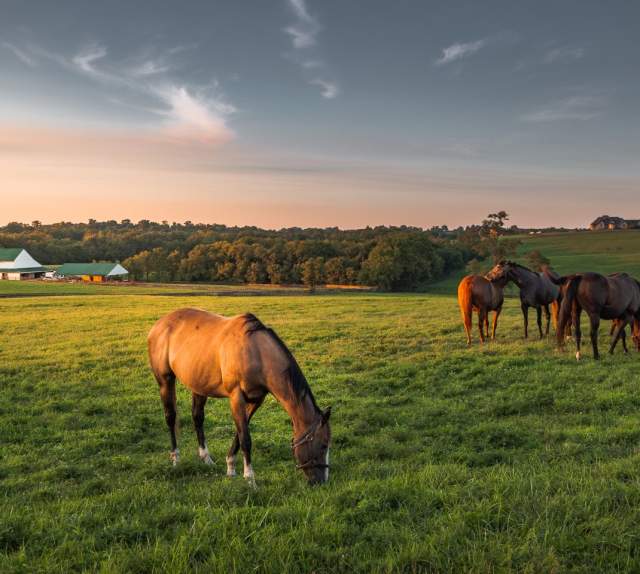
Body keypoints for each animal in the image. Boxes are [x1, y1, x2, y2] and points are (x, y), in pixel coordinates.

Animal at [147, 308, 332, 486]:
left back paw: (206, 458)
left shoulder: (255, 400)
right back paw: (176, 459)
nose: (321, 481)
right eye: (323, 445)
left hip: (199, 385)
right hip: (165, 381)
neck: (256, 352)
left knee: (197, 417)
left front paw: (230, 468)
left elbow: (239, 433)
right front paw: (250, 479)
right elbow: (245, 439)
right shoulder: (236, 397)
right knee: (170, 417)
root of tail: (159, 325)